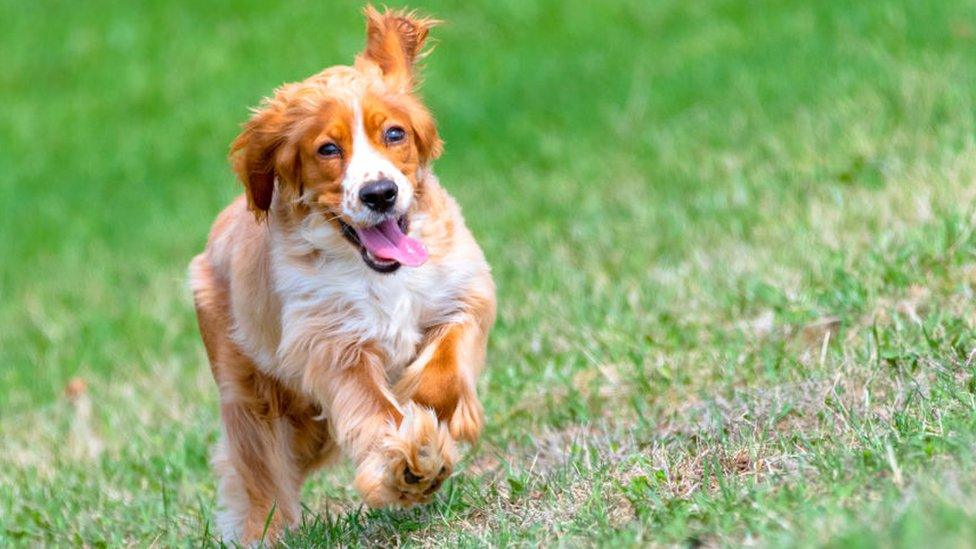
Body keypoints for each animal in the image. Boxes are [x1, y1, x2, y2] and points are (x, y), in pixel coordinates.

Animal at [189, 7, 496, 540]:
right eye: (328, 149)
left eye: (394, 134)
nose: (380, 193)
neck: (379, 273)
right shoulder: (331, 343)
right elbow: (372, 409)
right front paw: (408, 465)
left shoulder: (462, 290)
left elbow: (441, 373)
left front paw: (428, 412)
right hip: (249, 391)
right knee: (258, 474)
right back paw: (264, 531)